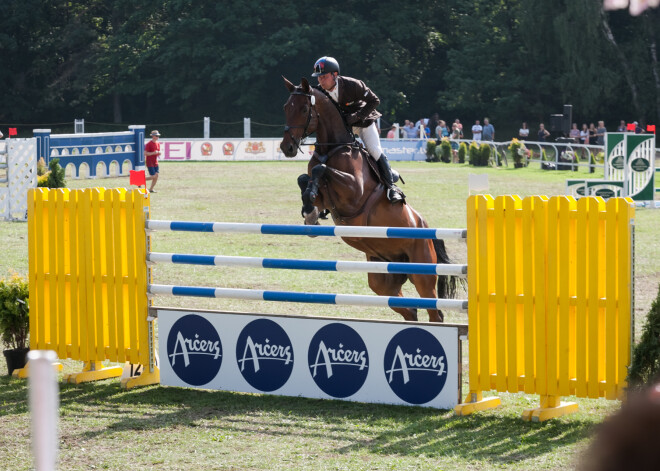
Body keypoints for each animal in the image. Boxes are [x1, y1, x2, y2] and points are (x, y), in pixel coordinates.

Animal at [278, 77, 458, 322]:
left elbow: (320, 169)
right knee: (409, 310)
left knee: (434, 312)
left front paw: (310, 206)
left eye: (305, 109)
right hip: (383, 277)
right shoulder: (328, 198)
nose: (286, 147)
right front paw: (310, 211)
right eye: (286, 108)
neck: (333, 148)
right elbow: (306, 178)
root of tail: (425, 226)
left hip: (423, 272)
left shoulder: (353, 191)